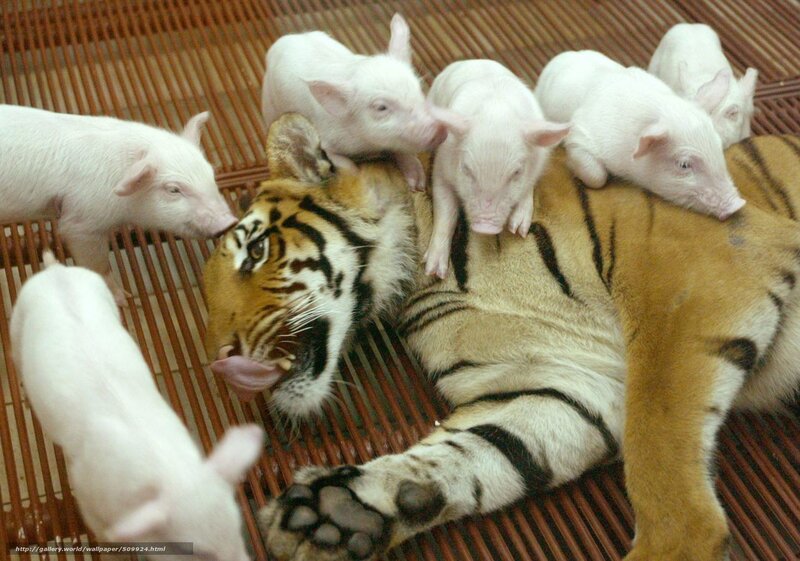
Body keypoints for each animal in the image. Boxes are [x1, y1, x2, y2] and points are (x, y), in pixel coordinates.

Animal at [203, 113, 800, 561]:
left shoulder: (693, 270)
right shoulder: (564, 377)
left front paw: (673, 548)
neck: (421, 275)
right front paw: (337, 511)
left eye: (255, 250)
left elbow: (659, 440)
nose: (222, 361)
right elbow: (485, 447)